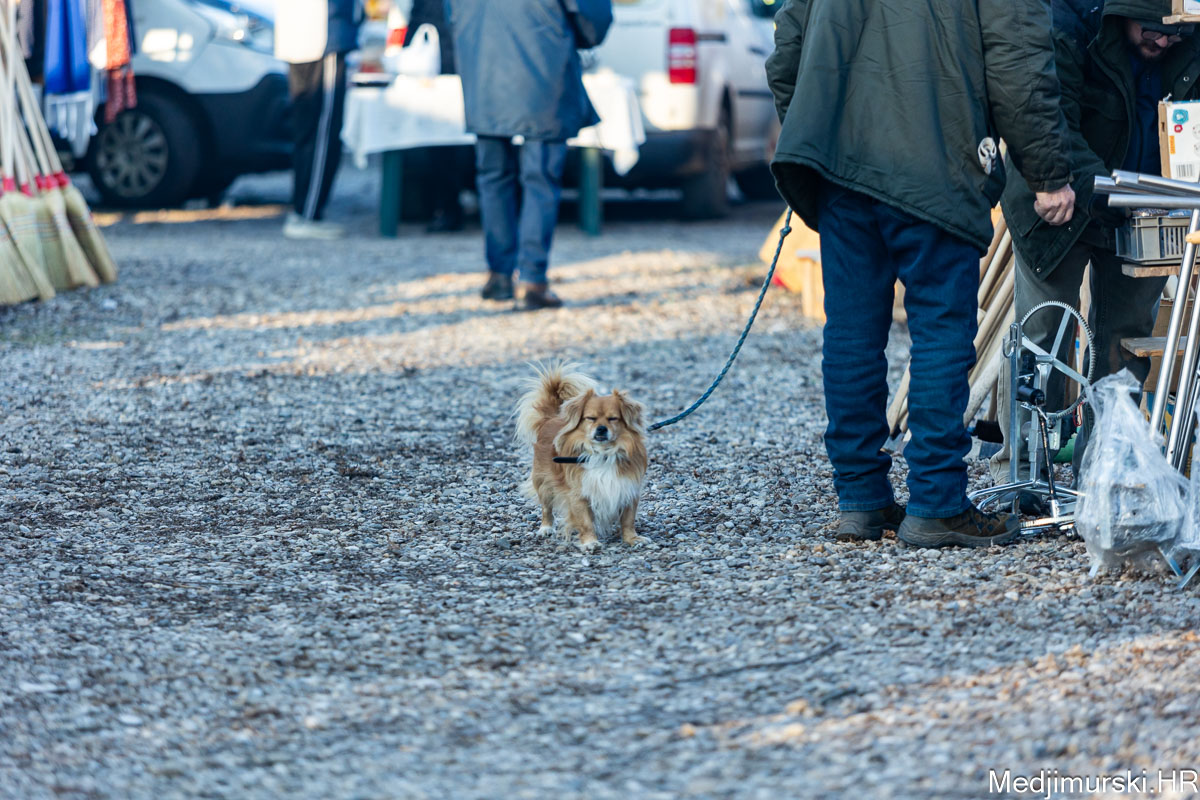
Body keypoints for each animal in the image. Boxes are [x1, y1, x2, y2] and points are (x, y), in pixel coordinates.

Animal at [515, 363, 648, 551]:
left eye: (613, 419)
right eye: (590, 418)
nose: (601, 428)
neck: (603, 453)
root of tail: (550, 418)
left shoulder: (627, 489)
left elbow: (628, 520)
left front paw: (632, 539)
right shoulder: (579, 493)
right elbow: (585, 521)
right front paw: (590, 542)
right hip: (543, 483)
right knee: (546, 509)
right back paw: (546, 528)